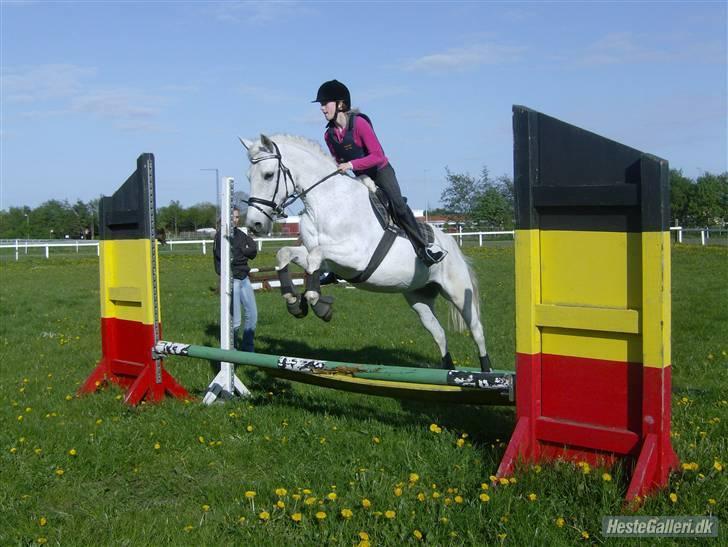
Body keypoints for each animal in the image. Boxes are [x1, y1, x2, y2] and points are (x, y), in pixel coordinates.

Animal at [242, 134, 492, 372]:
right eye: (249, 177)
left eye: (268, 175)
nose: (254, 224)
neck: (326, 203)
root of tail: (452, 244)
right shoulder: (326, 260)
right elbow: (286, 254)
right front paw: (294, 300)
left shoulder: (355, 257)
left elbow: (315, 257)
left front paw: (317, 303)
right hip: (419, 297)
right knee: (438, 333)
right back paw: (447, 370)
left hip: (458, 292)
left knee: (477, 330)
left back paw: (486, 371)